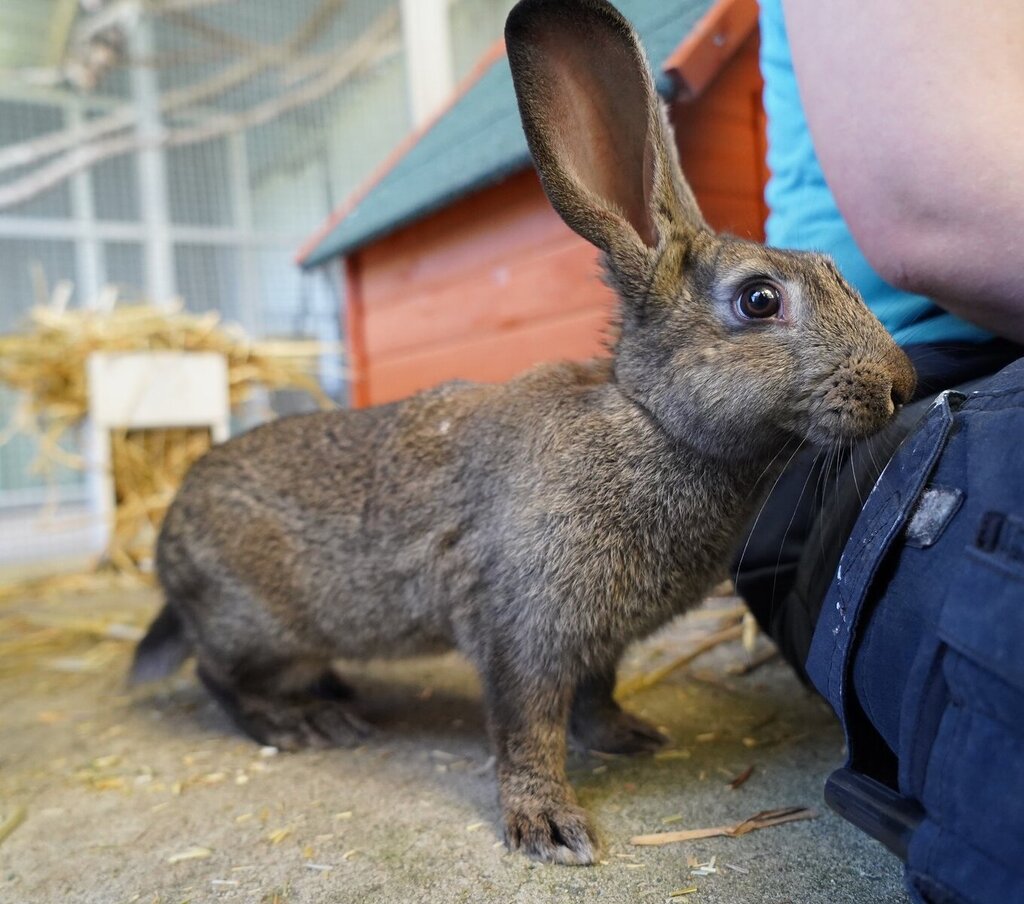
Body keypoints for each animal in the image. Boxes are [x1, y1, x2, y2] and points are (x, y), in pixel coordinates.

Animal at [130, 0, 916, 866]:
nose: (901, 384)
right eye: (759, 300)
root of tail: (167, 550)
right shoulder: (522, 626)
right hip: (256, 627)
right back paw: (306, 722)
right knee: (221, 679)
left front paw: (627, 735)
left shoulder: (600, 642)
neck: (651, 422)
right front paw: (549, 825)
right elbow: (527, 727)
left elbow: (596, 693)